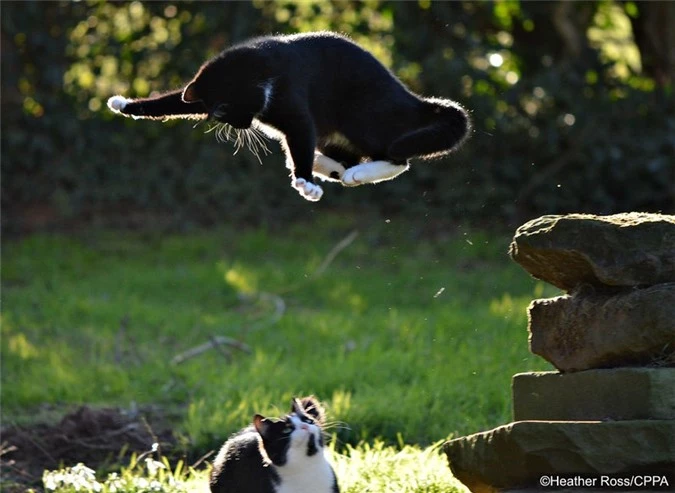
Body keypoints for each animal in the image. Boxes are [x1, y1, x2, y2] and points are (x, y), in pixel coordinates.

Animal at [108, 31, 472, 200]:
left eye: (224, 110)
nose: (241, 124)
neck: (262, 72)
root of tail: (412, 100)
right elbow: (172, 102)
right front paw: (123, 104)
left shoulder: (296, 109)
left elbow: (300, 133)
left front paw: (305, 182)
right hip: (338, 134)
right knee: (342, 158)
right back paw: (329, 166)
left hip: (361, 114)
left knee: (396, 158)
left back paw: (349, 173)